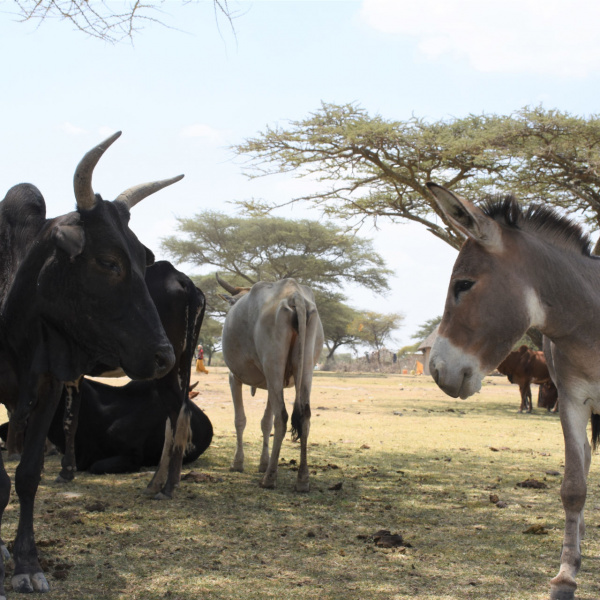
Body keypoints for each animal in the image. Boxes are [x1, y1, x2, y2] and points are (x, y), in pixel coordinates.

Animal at [0, 134, 180, 596]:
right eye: (108, 261)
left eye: (141, 260)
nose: (164, 356)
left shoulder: (48, 385)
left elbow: (27, 475)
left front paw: (27, 561)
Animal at [56, 260, 210, 500]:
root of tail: (182, 281)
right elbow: (70, 419)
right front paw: (68, 469)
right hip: (183, 362)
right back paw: (158, 483)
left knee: (178, 412)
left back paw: (167, 487)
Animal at [218, 276, 324, 492]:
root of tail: (294, 295)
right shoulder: (271, 383)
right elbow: (266, 423)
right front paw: (263, 462)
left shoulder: (234, 377)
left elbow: (240, 420)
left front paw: (238, 462)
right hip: (305, 368)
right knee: (304, 417)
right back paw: (302, 479)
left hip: (273, 364)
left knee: (282, 417)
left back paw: (270, 477)